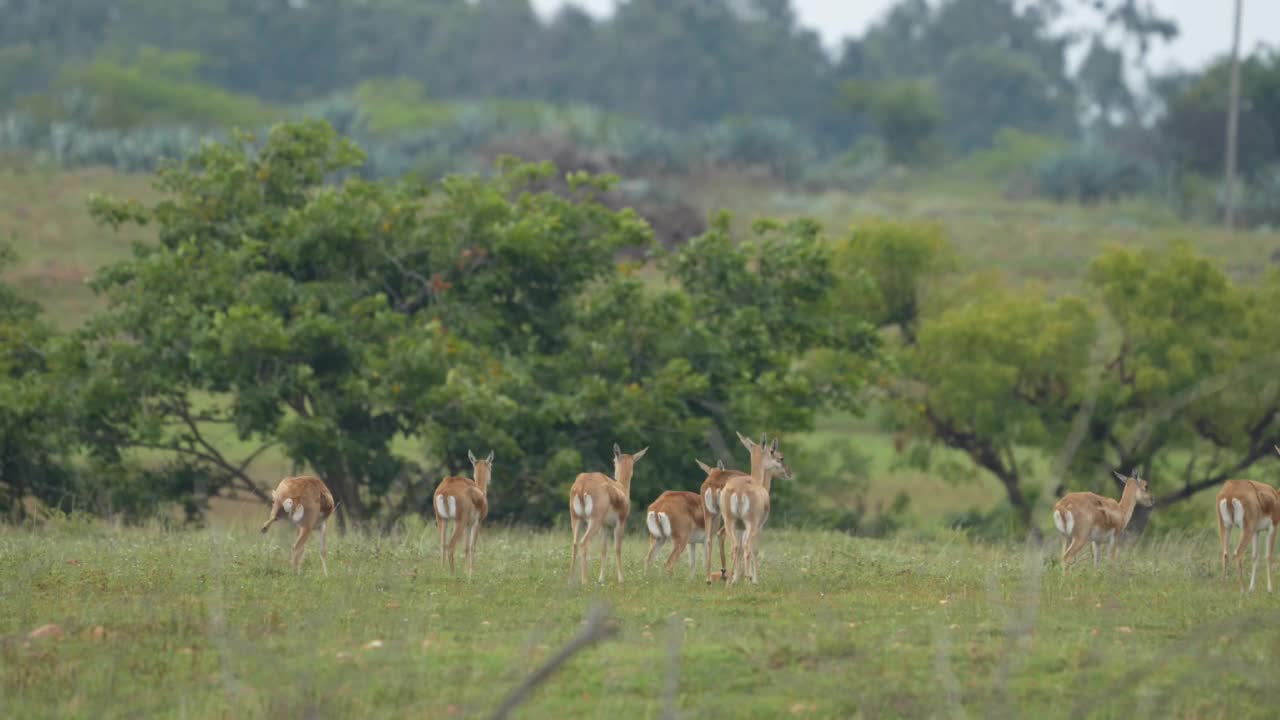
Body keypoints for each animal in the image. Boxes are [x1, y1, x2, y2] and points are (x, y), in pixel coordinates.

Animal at [430, 445, 488, 573]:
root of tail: (446, 491)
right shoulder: (477, 522)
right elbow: (471, 546)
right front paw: (470, 571)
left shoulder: (468, 525)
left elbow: (466, 547)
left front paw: (467, 570)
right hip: (459, 522)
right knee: (451, 546)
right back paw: (453, 573)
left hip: (442, 519)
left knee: (442, 545)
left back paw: (442, 570)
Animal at [570, 443, 650, 584]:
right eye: (613, 460)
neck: (622, 489)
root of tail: (582, 485)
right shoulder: (620, 522)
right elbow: (618, 548)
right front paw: (621, 579)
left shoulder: (605, 526)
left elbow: (604, 549)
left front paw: (601, 579)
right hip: (593, 521)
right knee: (584, 542)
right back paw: (584, 581)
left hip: (576, 518)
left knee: (574, 544)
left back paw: (570, 581)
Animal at [721, 430, 788, 584]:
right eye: (780, 457)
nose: (788, 473)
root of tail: (739, 490)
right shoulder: (759, 526)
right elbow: (755, 550)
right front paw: (754, 580)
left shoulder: (740, 528)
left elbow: (739, 549)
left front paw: (736, 578)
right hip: (751, 524)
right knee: (747, 547)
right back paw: (747, 581)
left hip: (730, 522)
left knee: (735, 547)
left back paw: (729, 582)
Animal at [1208, 445, 1280, 591]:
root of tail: (1230, 491)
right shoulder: (1273, 526)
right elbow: (1268, 555)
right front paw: (1270, 589)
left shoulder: (1257, 531)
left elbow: (1254, 556)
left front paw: (1253, 588)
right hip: (1246, 528)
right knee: (1238, 553)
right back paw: (1243, 590)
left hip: (1225, 526)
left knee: (1225, 553)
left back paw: (1223, 587)